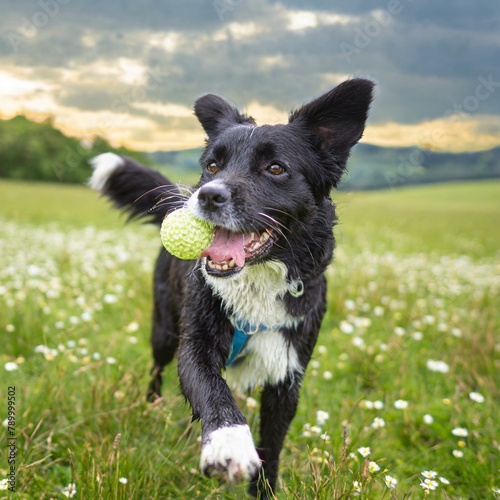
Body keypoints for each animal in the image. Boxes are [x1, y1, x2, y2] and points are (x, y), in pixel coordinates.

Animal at [90, 78, 374, 496]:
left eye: (275, 168)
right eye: (212, 165)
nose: (208, 195)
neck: (254, 282)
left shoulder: (287, 373)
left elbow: (272, 447)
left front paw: (264, 489)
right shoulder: (195, 345)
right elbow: (213, 390)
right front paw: (230, 444)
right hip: (164, 328)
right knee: (157, 367)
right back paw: (152, 407)